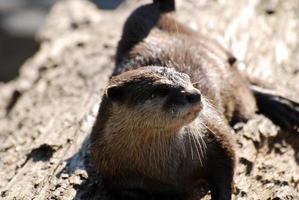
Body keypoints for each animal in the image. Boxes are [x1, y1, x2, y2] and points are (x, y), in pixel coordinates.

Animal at [89, 0, 299, 200]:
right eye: (161, 90)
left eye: (187, 79)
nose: (195, 94)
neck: (167, 170)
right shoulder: (113, 176)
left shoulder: (214, 135)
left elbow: (226, 165)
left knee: (243, 82)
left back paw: (283, 104)